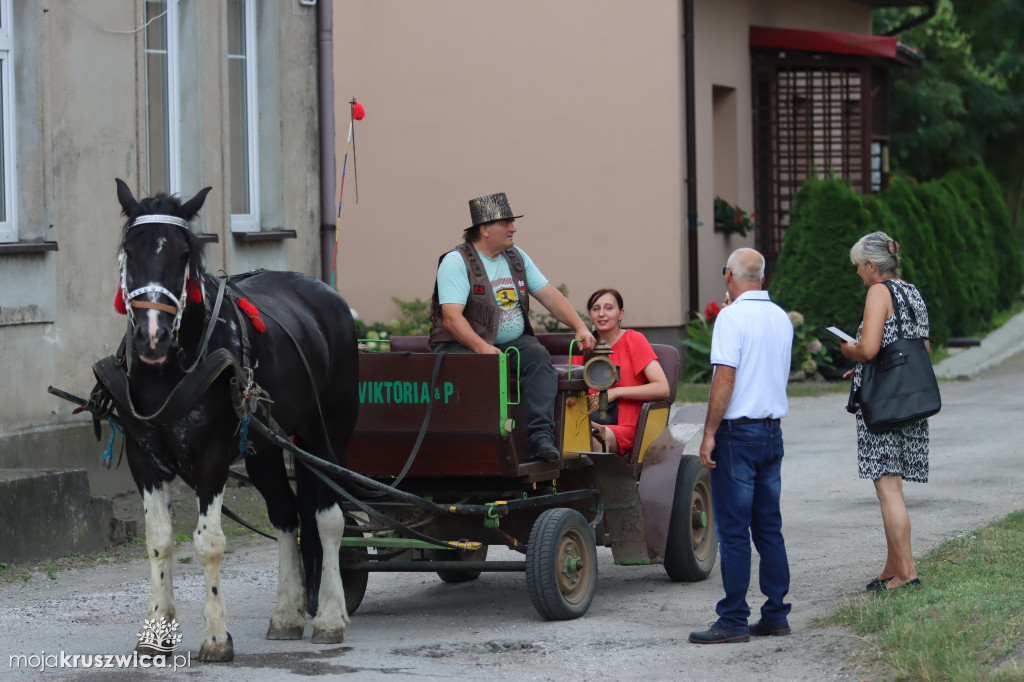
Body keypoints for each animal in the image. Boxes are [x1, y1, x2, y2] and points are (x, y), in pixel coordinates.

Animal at [109, 180, 360, 659]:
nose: (151, 337)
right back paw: (286, 614)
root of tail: (326, 293)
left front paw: (215, 637)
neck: (170, 370)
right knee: (285, 514)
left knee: (329, 518)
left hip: (328, 433)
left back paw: (331, 616)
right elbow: (158, 542)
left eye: (182, 255)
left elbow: (208, 543)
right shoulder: (143, 459)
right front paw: (156, 630)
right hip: (264, 449)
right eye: (130, 250)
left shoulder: (212, 457)